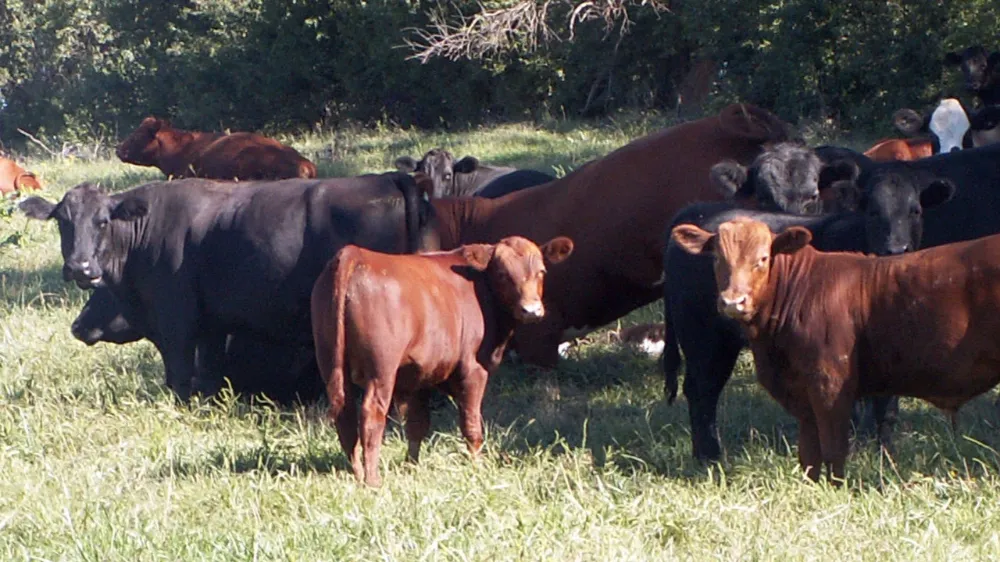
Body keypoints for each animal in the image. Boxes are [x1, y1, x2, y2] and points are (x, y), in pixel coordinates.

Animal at [312, 234, 580, 484]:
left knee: (344, 413)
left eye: (541, 272)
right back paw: (372, 480)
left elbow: (417, 425)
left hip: (331, 362)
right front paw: (477, 468)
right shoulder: (473, 369)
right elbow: (471, 425)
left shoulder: (418, 374)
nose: (531, 310)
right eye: (503, 274)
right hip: (381, 370)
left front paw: (412, 467)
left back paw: (358, 474)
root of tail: (354, 254)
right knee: (371, 415)